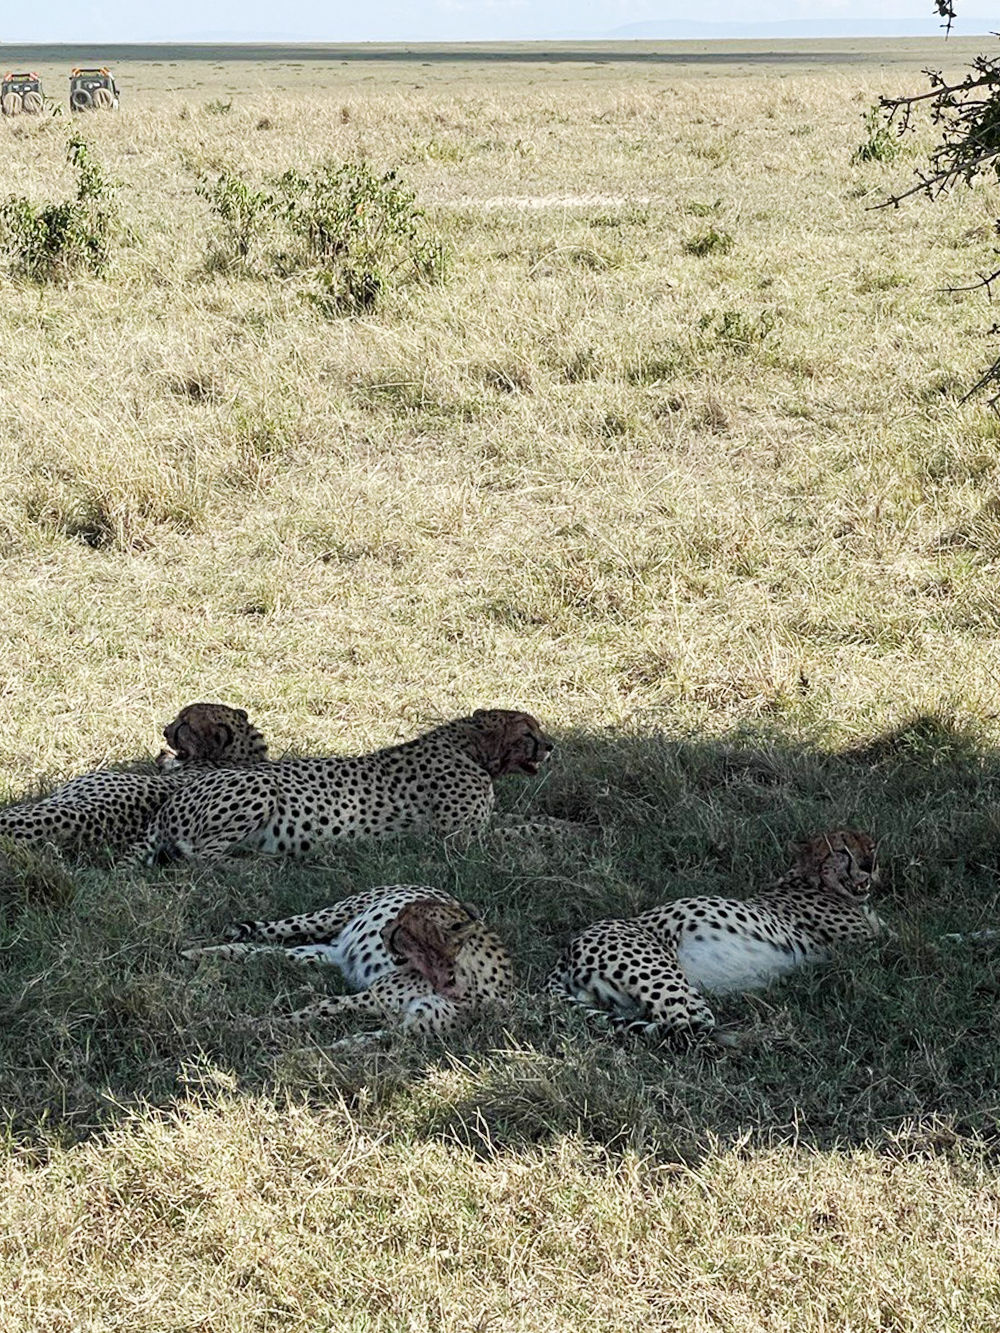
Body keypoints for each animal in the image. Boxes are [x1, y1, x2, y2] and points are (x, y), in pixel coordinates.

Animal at [134, 709, 557, 863]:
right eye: (528, 731)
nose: (551, 745)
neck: (470, 748)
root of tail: (169, 803)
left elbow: (523, 819)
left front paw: (561, 824)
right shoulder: (459, 839)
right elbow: (522, 830)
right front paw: (562, 833)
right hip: (259, 786)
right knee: (199, 858)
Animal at [184, 885, 517, 1039]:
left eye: (404, 927)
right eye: (398, 918)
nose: (383, 932)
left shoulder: (405, 1022)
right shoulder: (370, 997)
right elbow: (311, 1010)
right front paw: (249, 1025)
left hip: (320, 954)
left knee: (264, 953)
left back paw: (205, 954)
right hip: (329, 917)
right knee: (278, 930)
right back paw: (203, 949)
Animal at [552, 826, 890, 1045]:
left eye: (871, 847)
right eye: (842, 851)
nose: (869, 865)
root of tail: (567, 950)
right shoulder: (863, 946)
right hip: (665, 977)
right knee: (686, 1028)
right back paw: (763, 1038)